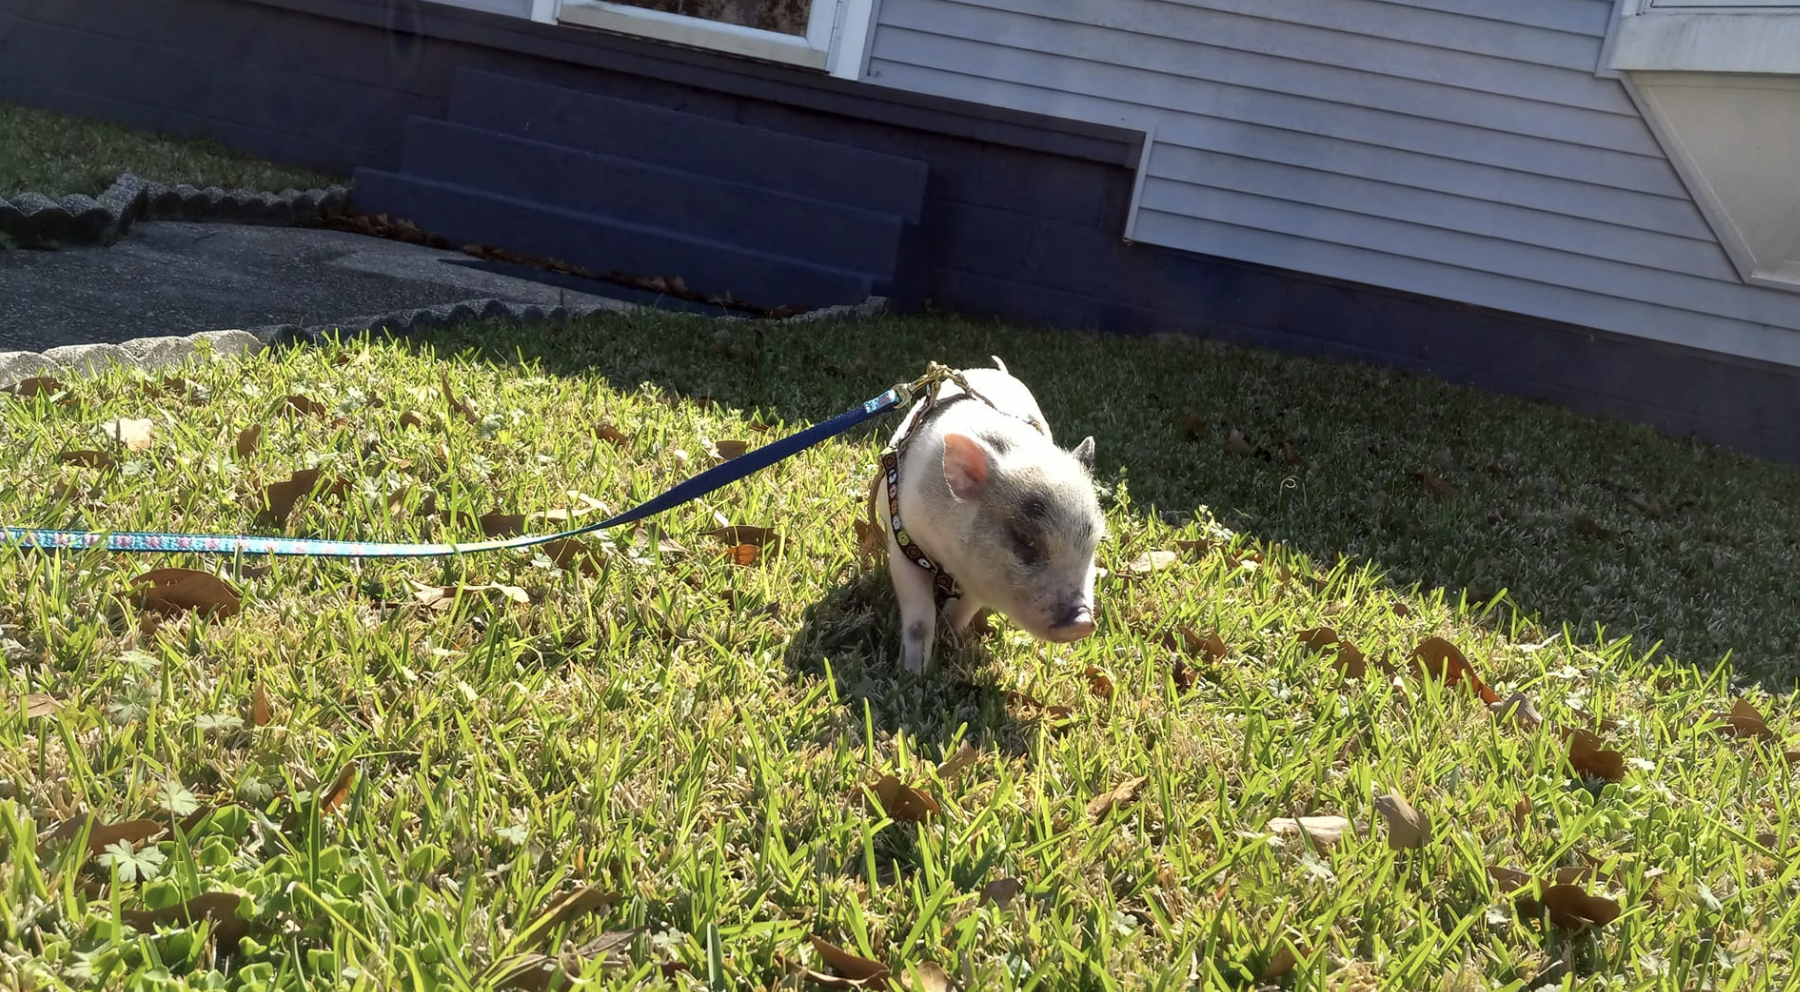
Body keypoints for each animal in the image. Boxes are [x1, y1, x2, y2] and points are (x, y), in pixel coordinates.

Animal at [869, 357, 1106, 673]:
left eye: (1094, 542)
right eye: (1024, 539)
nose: (1082, 623)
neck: (950, 560)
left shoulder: (979, 579)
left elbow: (964, 609)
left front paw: (950, 637)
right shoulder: (904, 543)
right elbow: (919, 618)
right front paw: (913, 672)